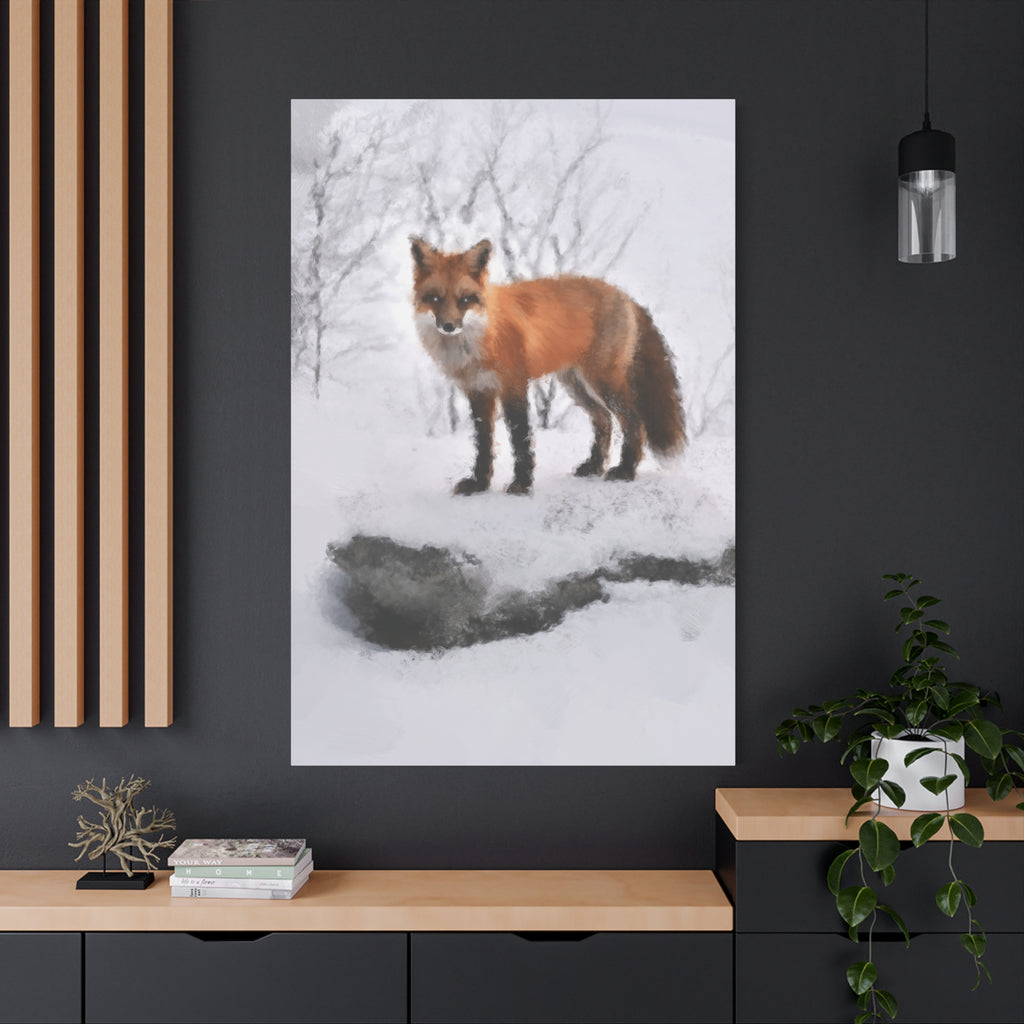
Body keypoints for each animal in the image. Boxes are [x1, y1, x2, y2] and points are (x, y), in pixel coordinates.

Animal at [410, 236, 686, 495]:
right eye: (435, 298)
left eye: (465, 300)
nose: (449, 326)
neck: (481, 338)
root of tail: (623, 294)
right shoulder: (479, 391)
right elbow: (483, 443)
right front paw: (479, 484)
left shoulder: (513, 385)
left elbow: (520, 439)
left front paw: (522, 484)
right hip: (576, 385)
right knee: (604, 420)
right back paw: (595, 466)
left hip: (603, 382)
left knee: (633, 421)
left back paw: (626, 470)